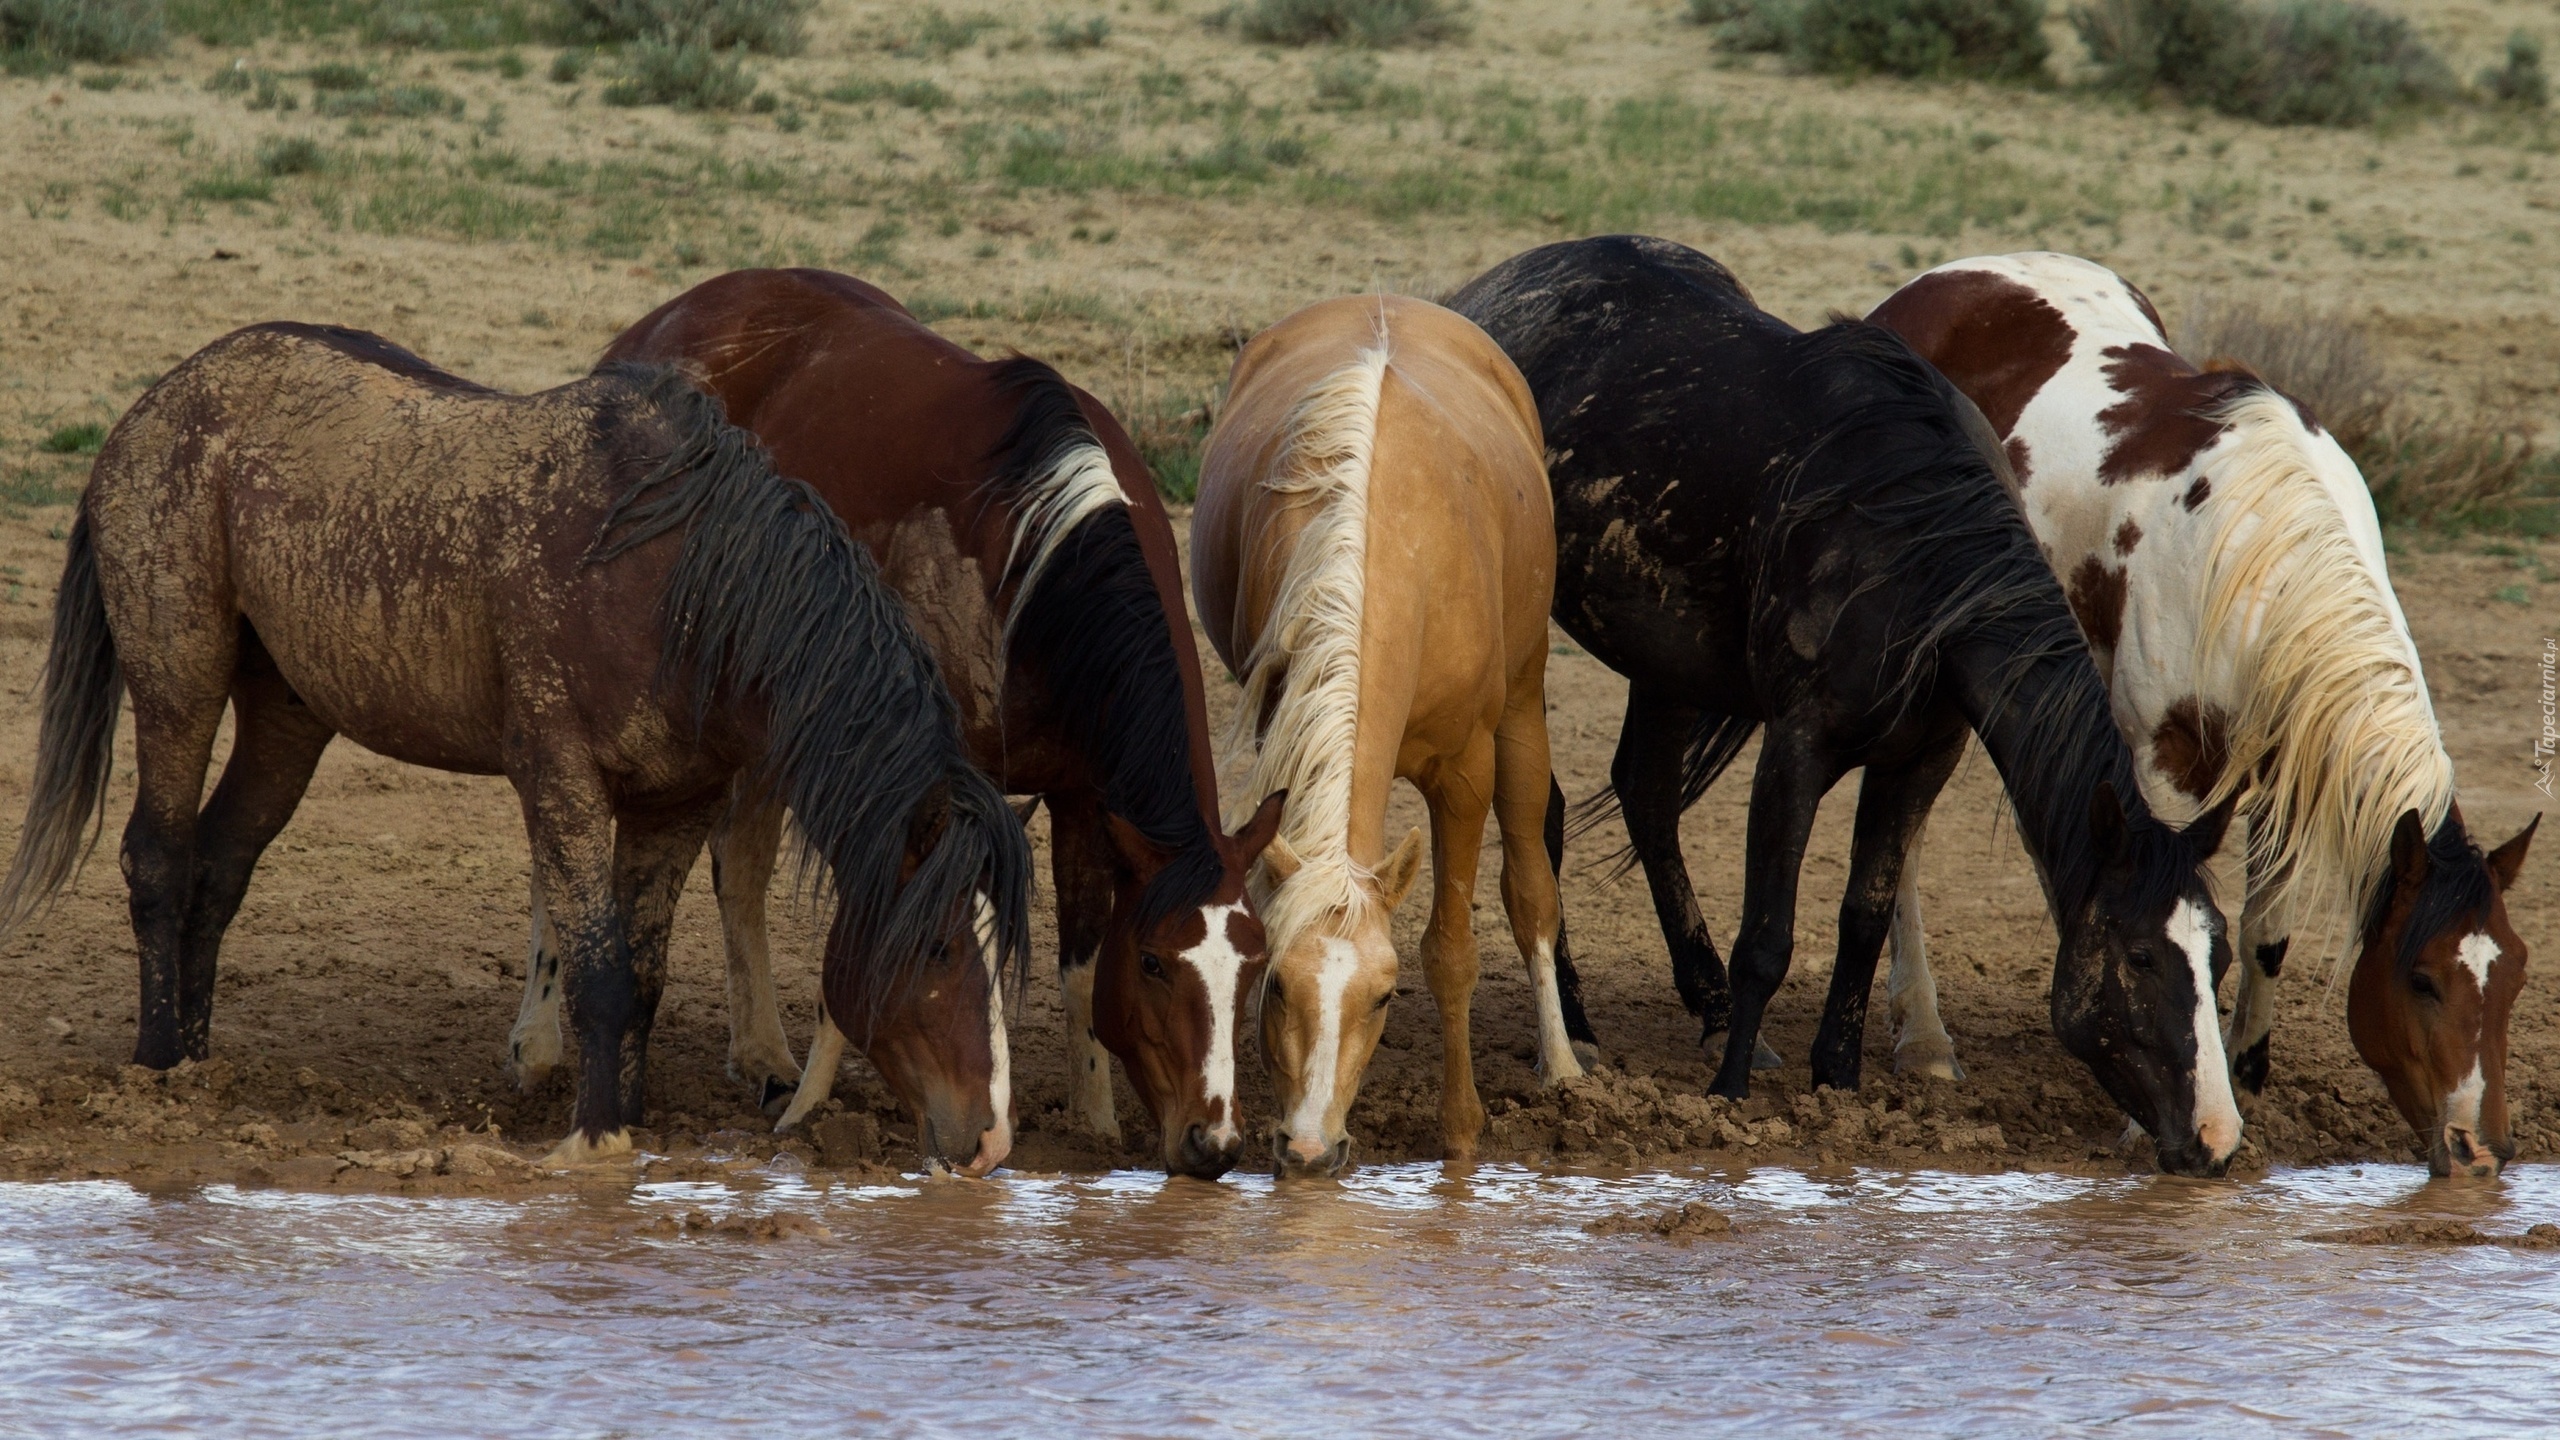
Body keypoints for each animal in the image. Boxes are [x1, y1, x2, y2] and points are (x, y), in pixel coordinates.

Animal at [0, 322, 1029, 1168]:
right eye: (938, 946)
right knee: (160, 859)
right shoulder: (560, 778)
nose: (988, 1141)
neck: (679, 586)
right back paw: (156, 1071)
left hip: (288, 712)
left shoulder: (674, 804)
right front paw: (596, 1144)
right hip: (180, 675)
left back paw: (200, 1068)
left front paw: (628, 1125)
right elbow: (600, 973)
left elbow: (642, 977)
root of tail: (154, 404)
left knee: (219, 864)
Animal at [586, 269, 1300, 1178]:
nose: (1213, 1144)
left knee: (738, 861)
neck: (1036, 571)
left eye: (1253, 966)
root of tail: (656, 326)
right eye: (1154, 962)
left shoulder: (1082, 797)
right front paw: (815, 1110)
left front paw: (1095, 1121)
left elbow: (1076, 964)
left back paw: (762, 1058)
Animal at [1192, 288, 1587, 1168]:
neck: (1383, 557)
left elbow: (1452, 949)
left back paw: (1562, 1066)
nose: (1308, 1149)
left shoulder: (1466, 772)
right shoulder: (1283, 733)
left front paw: (1462, 1129)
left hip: (1524, 701)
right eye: (1278, 987)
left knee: (1533, 893)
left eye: (1382, 998)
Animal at [1454, 235, 2252, 1173]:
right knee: (1540, 814)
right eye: (2138, 957)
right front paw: (1730, 1092)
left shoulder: (1922, 757)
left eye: (2219, 955)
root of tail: (1486, 293)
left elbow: (1864, 914)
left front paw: (1834, 1076)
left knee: (1646, 795)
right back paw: (1580, 1024)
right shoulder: (1798, 746)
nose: (2216, 1139)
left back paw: (1706, 1004)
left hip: (1665, 658)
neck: (1911, 558)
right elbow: (1768, 934)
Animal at [1873, 252, 2529, 1173]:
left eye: (2516, 977)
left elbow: (2264, 934)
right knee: (1904, 839)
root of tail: (1938, 283)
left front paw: (2242, 1071)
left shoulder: (2287, 773)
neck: (2256, 560)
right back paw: (1925, 1040)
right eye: (2422, 978)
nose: (2481, 1150)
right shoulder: (2165, 762)